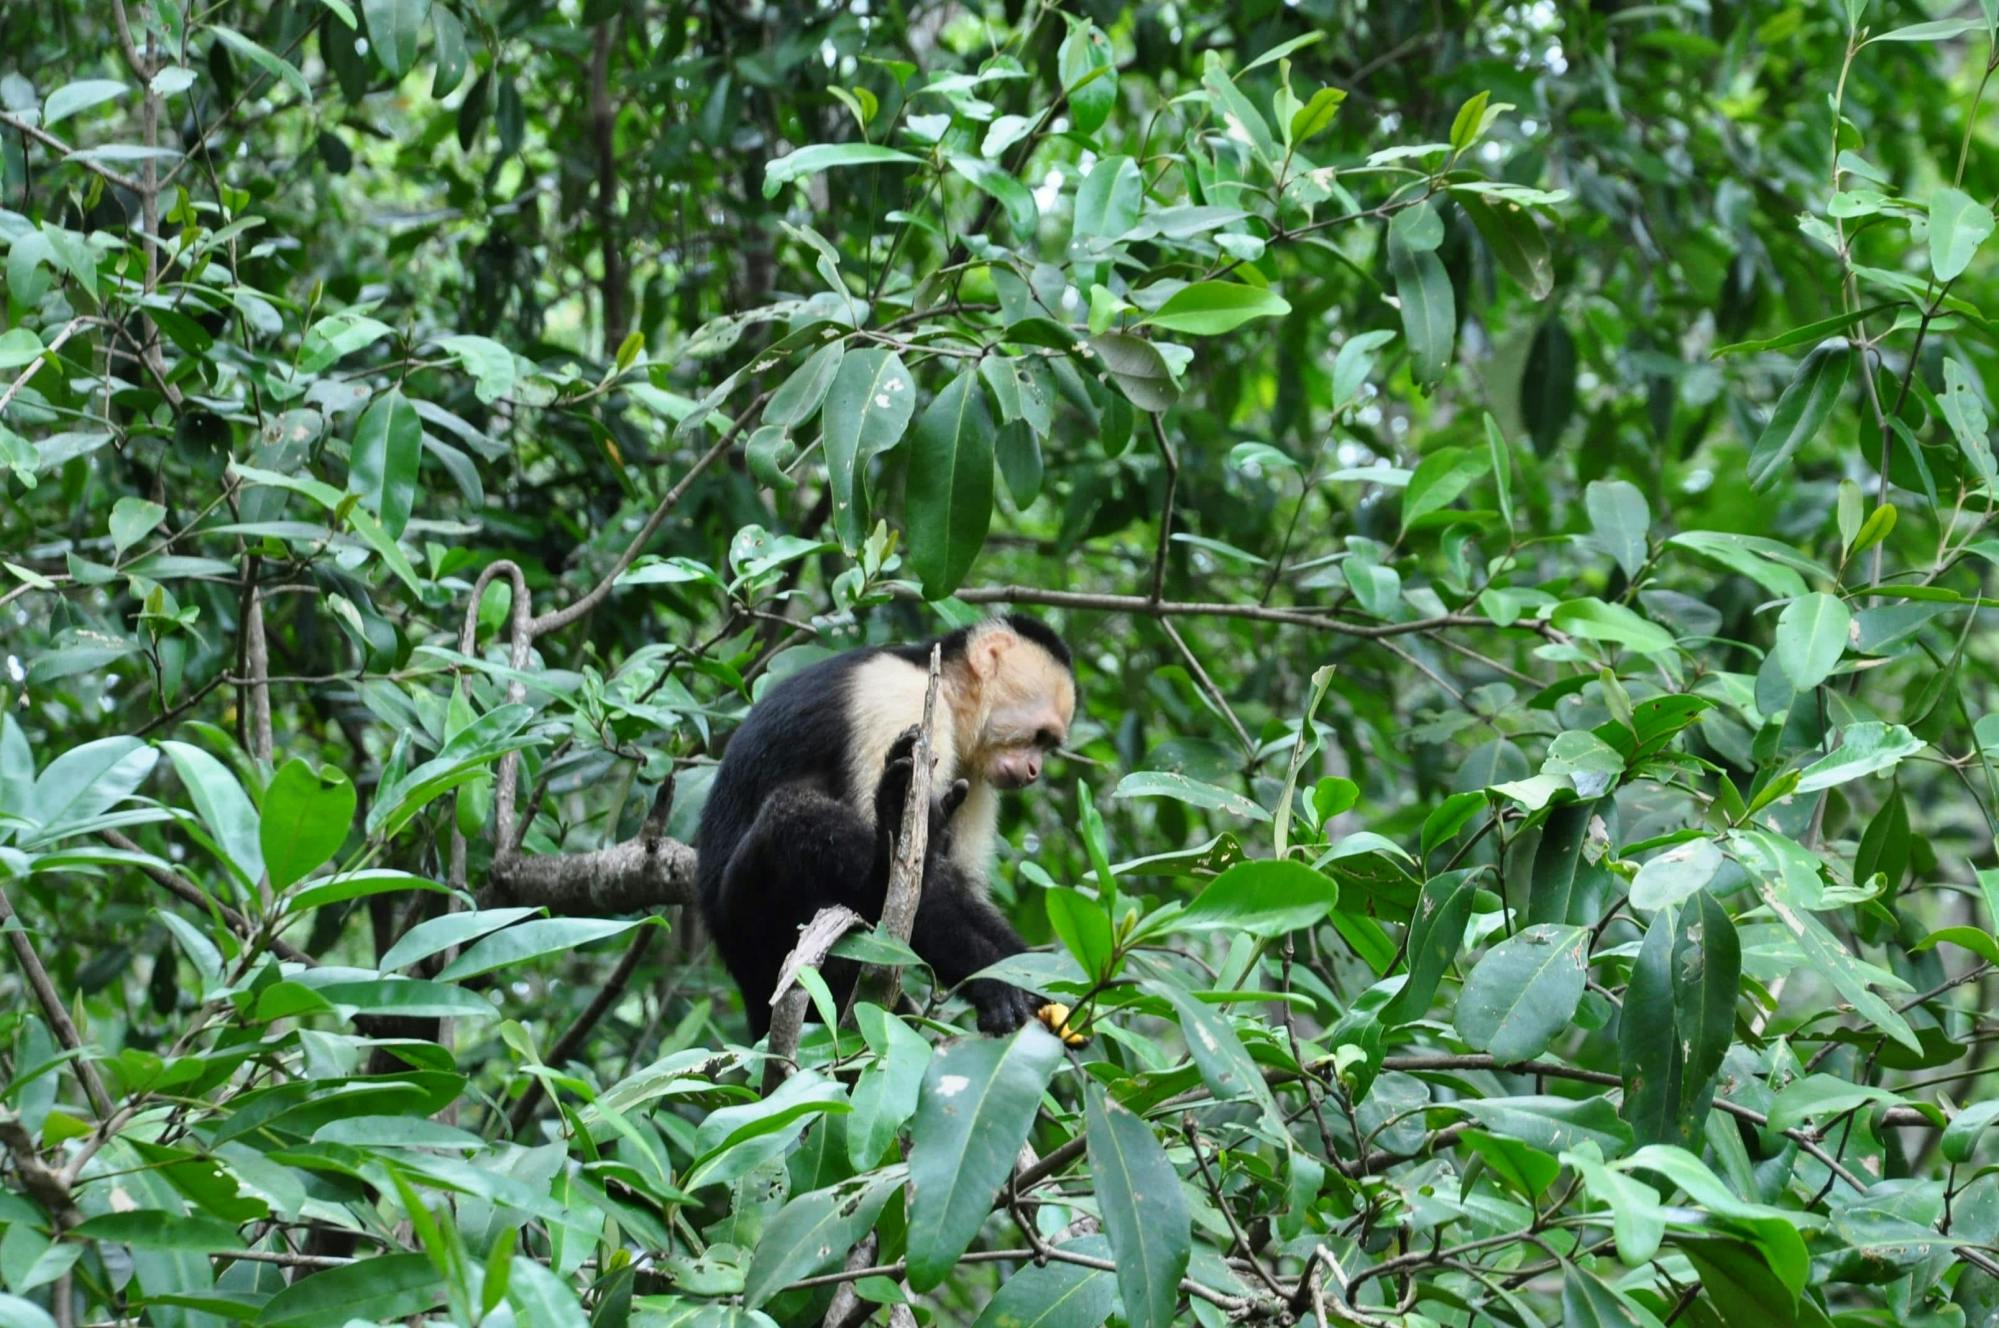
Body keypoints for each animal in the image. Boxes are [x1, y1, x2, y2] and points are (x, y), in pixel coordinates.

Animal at [703, 612, 1079, 1040]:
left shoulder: (977, 773)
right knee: (795, 815)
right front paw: (991, 984)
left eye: (1047, 745)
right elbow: (922, 896)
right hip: (749, 918)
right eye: (1039, 736)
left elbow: (958, 884)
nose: (1034, 770)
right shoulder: (902, 702)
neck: (948, 695)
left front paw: (1031, 981)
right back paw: (882, 863)